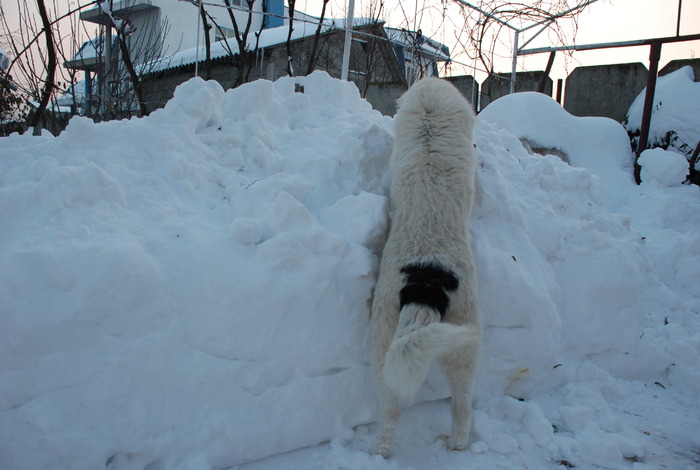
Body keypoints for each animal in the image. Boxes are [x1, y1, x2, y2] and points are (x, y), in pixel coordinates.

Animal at [372, 79, 482, 458]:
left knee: (390, 402)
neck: (430, 113)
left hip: (388, 333)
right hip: (464, 338)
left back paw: (382, 451)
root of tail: (425, 282)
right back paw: (458, 444)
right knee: (462, 401)